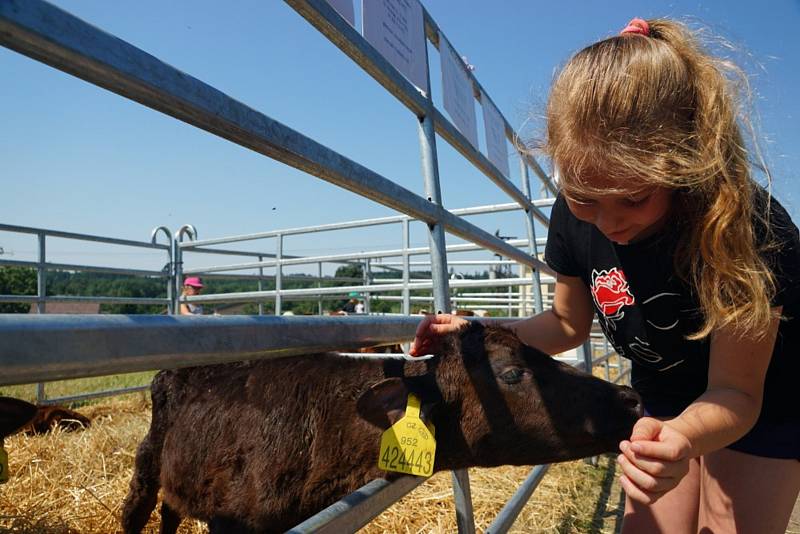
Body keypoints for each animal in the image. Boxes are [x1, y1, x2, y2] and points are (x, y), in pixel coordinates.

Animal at [122, 324, 640, 532]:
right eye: (512, 372)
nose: (630, 399)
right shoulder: (233, 523)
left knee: (170, 511)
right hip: (146, 462)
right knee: (137, 511)